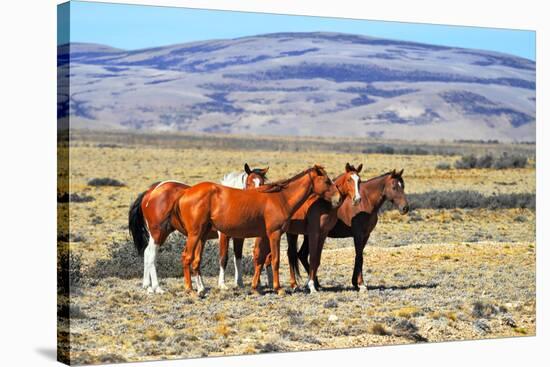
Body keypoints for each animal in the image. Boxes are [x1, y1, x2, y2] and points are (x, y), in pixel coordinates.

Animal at [129, 163, 268, 294]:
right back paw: (157, 288)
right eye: (249, 183)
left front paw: (239, 283)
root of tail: (151, 192)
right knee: (151, 254)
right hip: (158, 233)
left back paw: (148, 286)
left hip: (163, 233)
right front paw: (222, 284)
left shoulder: (239, 237)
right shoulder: (223, 235)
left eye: (262, 183)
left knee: (147, 253)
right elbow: (223, 258)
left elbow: (237, 258)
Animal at [172, 166, 340, 296]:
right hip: (195, 234)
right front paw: (278, 288)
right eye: (326, 181)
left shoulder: (264, 236)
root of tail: (185, 193)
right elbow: (275, 260)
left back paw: (200, 289)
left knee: (195, 260)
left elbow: (260, 259)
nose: (338, 198)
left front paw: (255, 287)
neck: (281, 198)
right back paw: (190, 290)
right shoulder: (274, 234)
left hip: (203, 234)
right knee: (187, 257)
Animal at [254, 163, 366, 294]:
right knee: (260, 254)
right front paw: (312, 286)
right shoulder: (313, 233)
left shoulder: (323, 234)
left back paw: (292, 284)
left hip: (290, 233)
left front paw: (314, 285)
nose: (357, 199)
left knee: (288, 255)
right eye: (349, 180)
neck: (324, 204)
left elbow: (317, 259)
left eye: (359, 181)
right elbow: (312, 258)